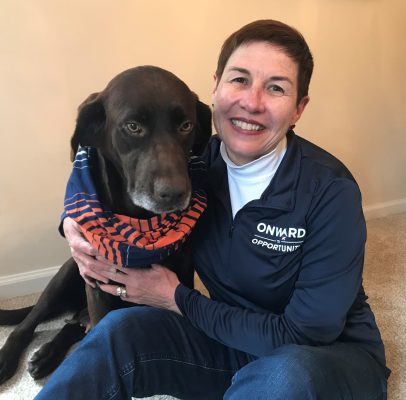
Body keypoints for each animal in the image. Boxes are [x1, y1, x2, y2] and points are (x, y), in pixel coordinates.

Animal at [0, 66, 209, 384]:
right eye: (133, 126)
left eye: (186, 125)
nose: (175, 193)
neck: (141, 222)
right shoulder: (98, 288)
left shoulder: (181, 278)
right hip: (68, 273)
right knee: (29, 322)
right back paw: (10, 357)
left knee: (73, 326)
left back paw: (48, 354)